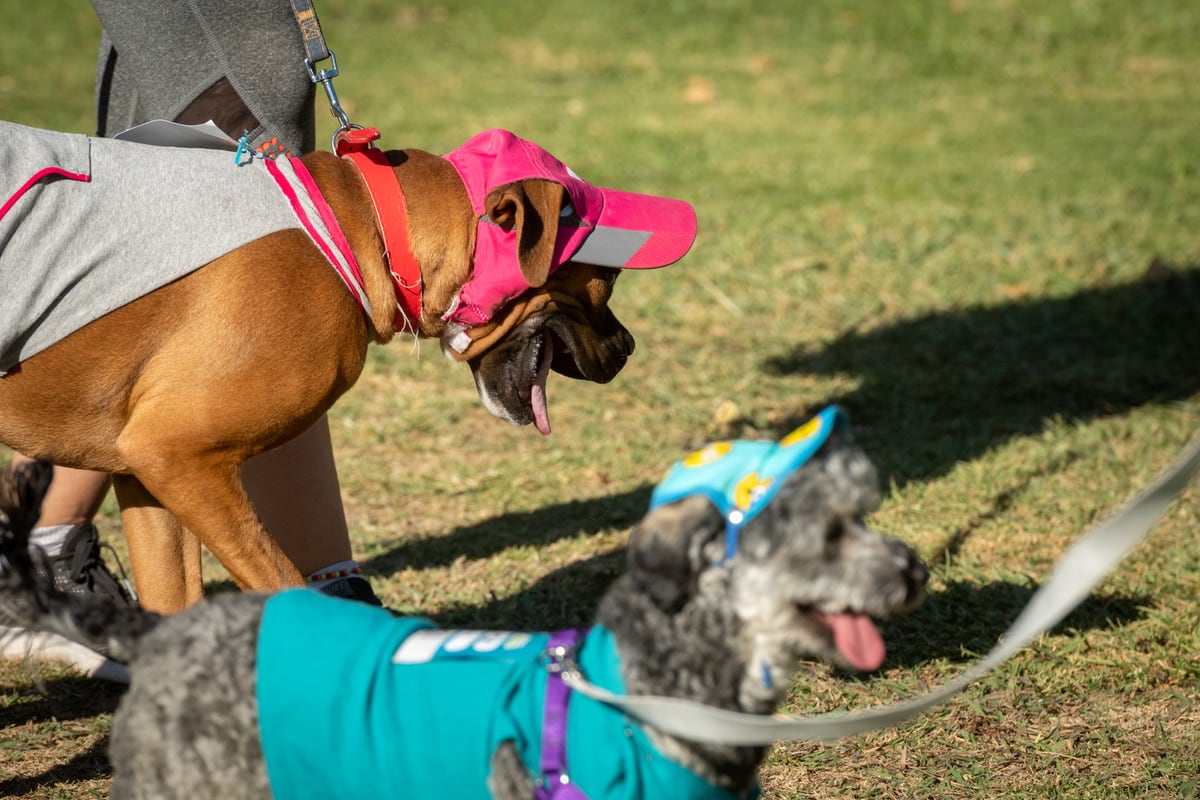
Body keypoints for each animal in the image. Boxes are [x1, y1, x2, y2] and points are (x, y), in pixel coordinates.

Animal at [0, 123, 696, 614]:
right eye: (608, 279)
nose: (630, 345)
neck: (358, 226)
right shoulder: (176, 456)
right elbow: (285, 586)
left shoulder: (147, 477)